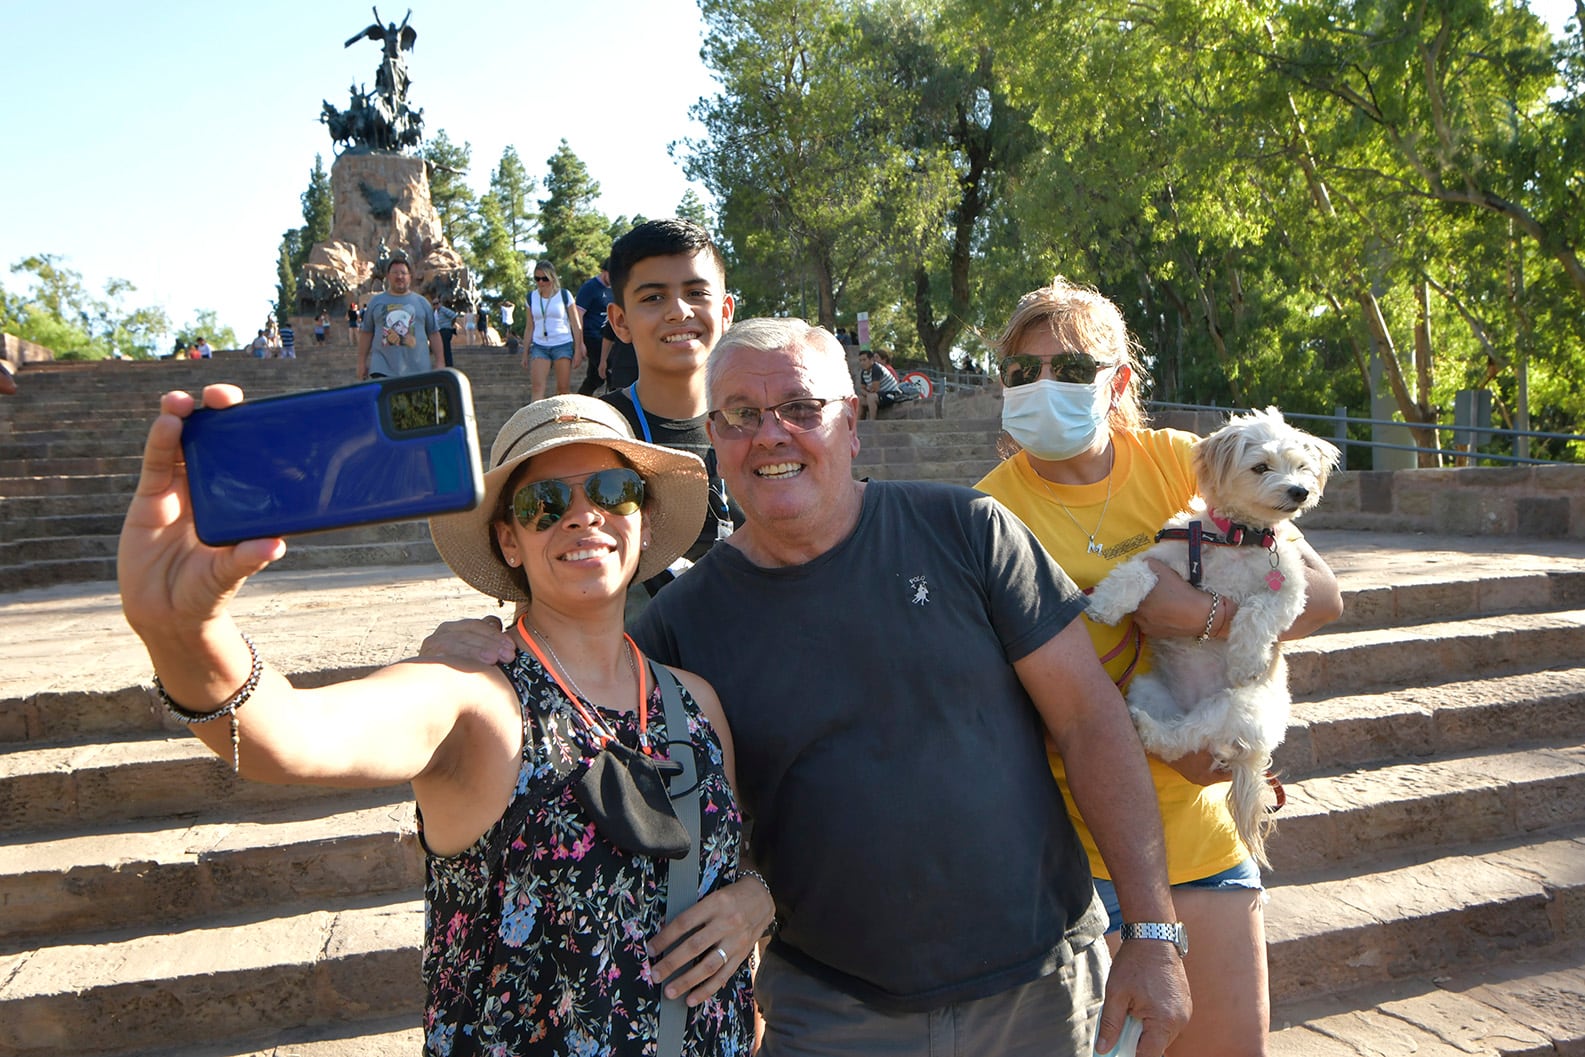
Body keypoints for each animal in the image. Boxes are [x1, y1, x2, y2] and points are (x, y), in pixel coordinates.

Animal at [1090, 408, 1337, 868]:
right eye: (1260, 467)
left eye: (1301, 466)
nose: (1298, 491)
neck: (1238, 538)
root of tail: (1253, 757)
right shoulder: (1167, 556)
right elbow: (1137, 571)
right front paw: (1108, 603)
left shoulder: (1291, 590)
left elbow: (1257, 611)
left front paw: (1246, 660)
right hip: (1148, 686)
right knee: (1176, 738)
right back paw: (1144, 724)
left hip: (1232, 708)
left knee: (1185, 738)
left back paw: (1149, 730)